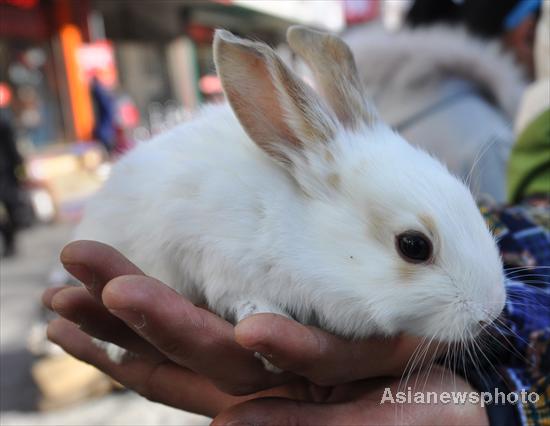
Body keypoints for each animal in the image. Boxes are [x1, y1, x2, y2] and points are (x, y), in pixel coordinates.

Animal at [74, 26, 508, 366]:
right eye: (414, 246)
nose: (490, 313)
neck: (294, 228)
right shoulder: (214, 256)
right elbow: (235, 294)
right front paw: (263, 321)